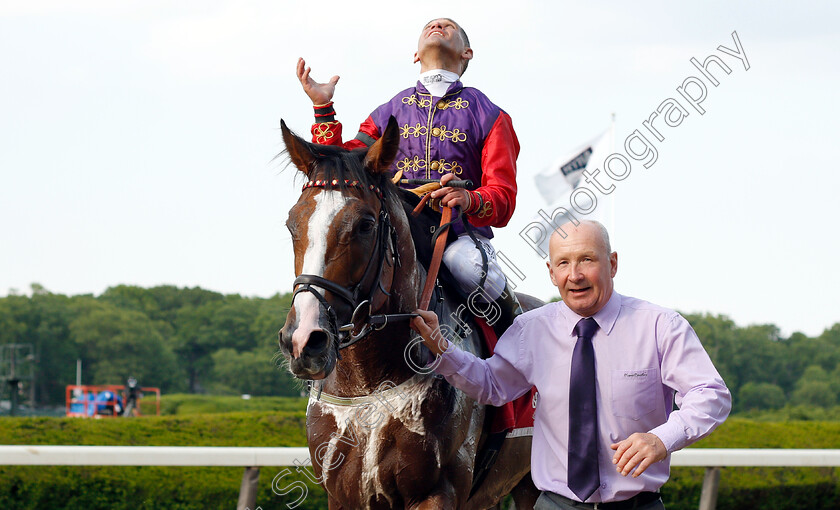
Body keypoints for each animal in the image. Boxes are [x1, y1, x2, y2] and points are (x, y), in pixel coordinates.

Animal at [276, 117, 540, 508]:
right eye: (292, 224)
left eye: (365, 225)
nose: (304, 340)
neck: (369, 385)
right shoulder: (342, 494)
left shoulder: (437, 491)